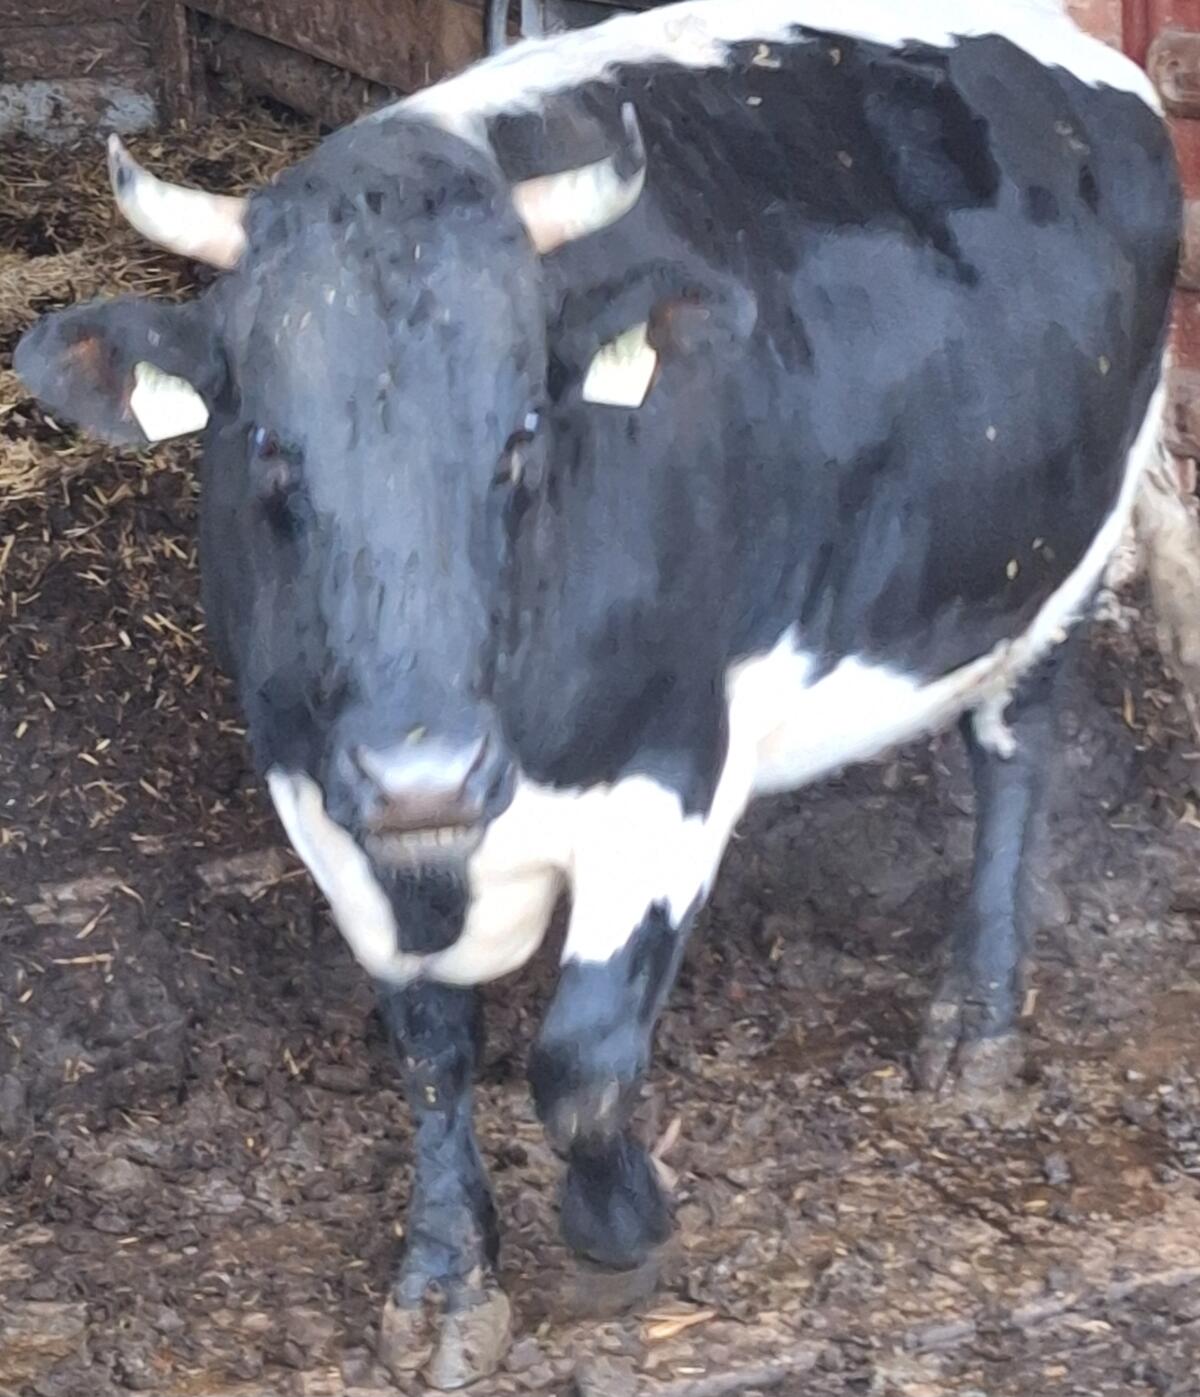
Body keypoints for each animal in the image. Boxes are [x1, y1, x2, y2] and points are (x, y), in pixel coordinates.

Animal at [14, 0, 1180, 1384]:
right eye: (269, 450)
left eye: (524, 433)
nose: (422, 773)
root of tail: (1090, 60)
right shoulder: (320, 795)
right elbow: (430, 1044)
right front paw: (447, 1278)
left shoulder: (672, 766)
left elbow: (579, 1058)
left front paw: (623, 1228)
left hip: (1066, 558)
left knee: (1012, 757)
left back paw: (977, 1024)